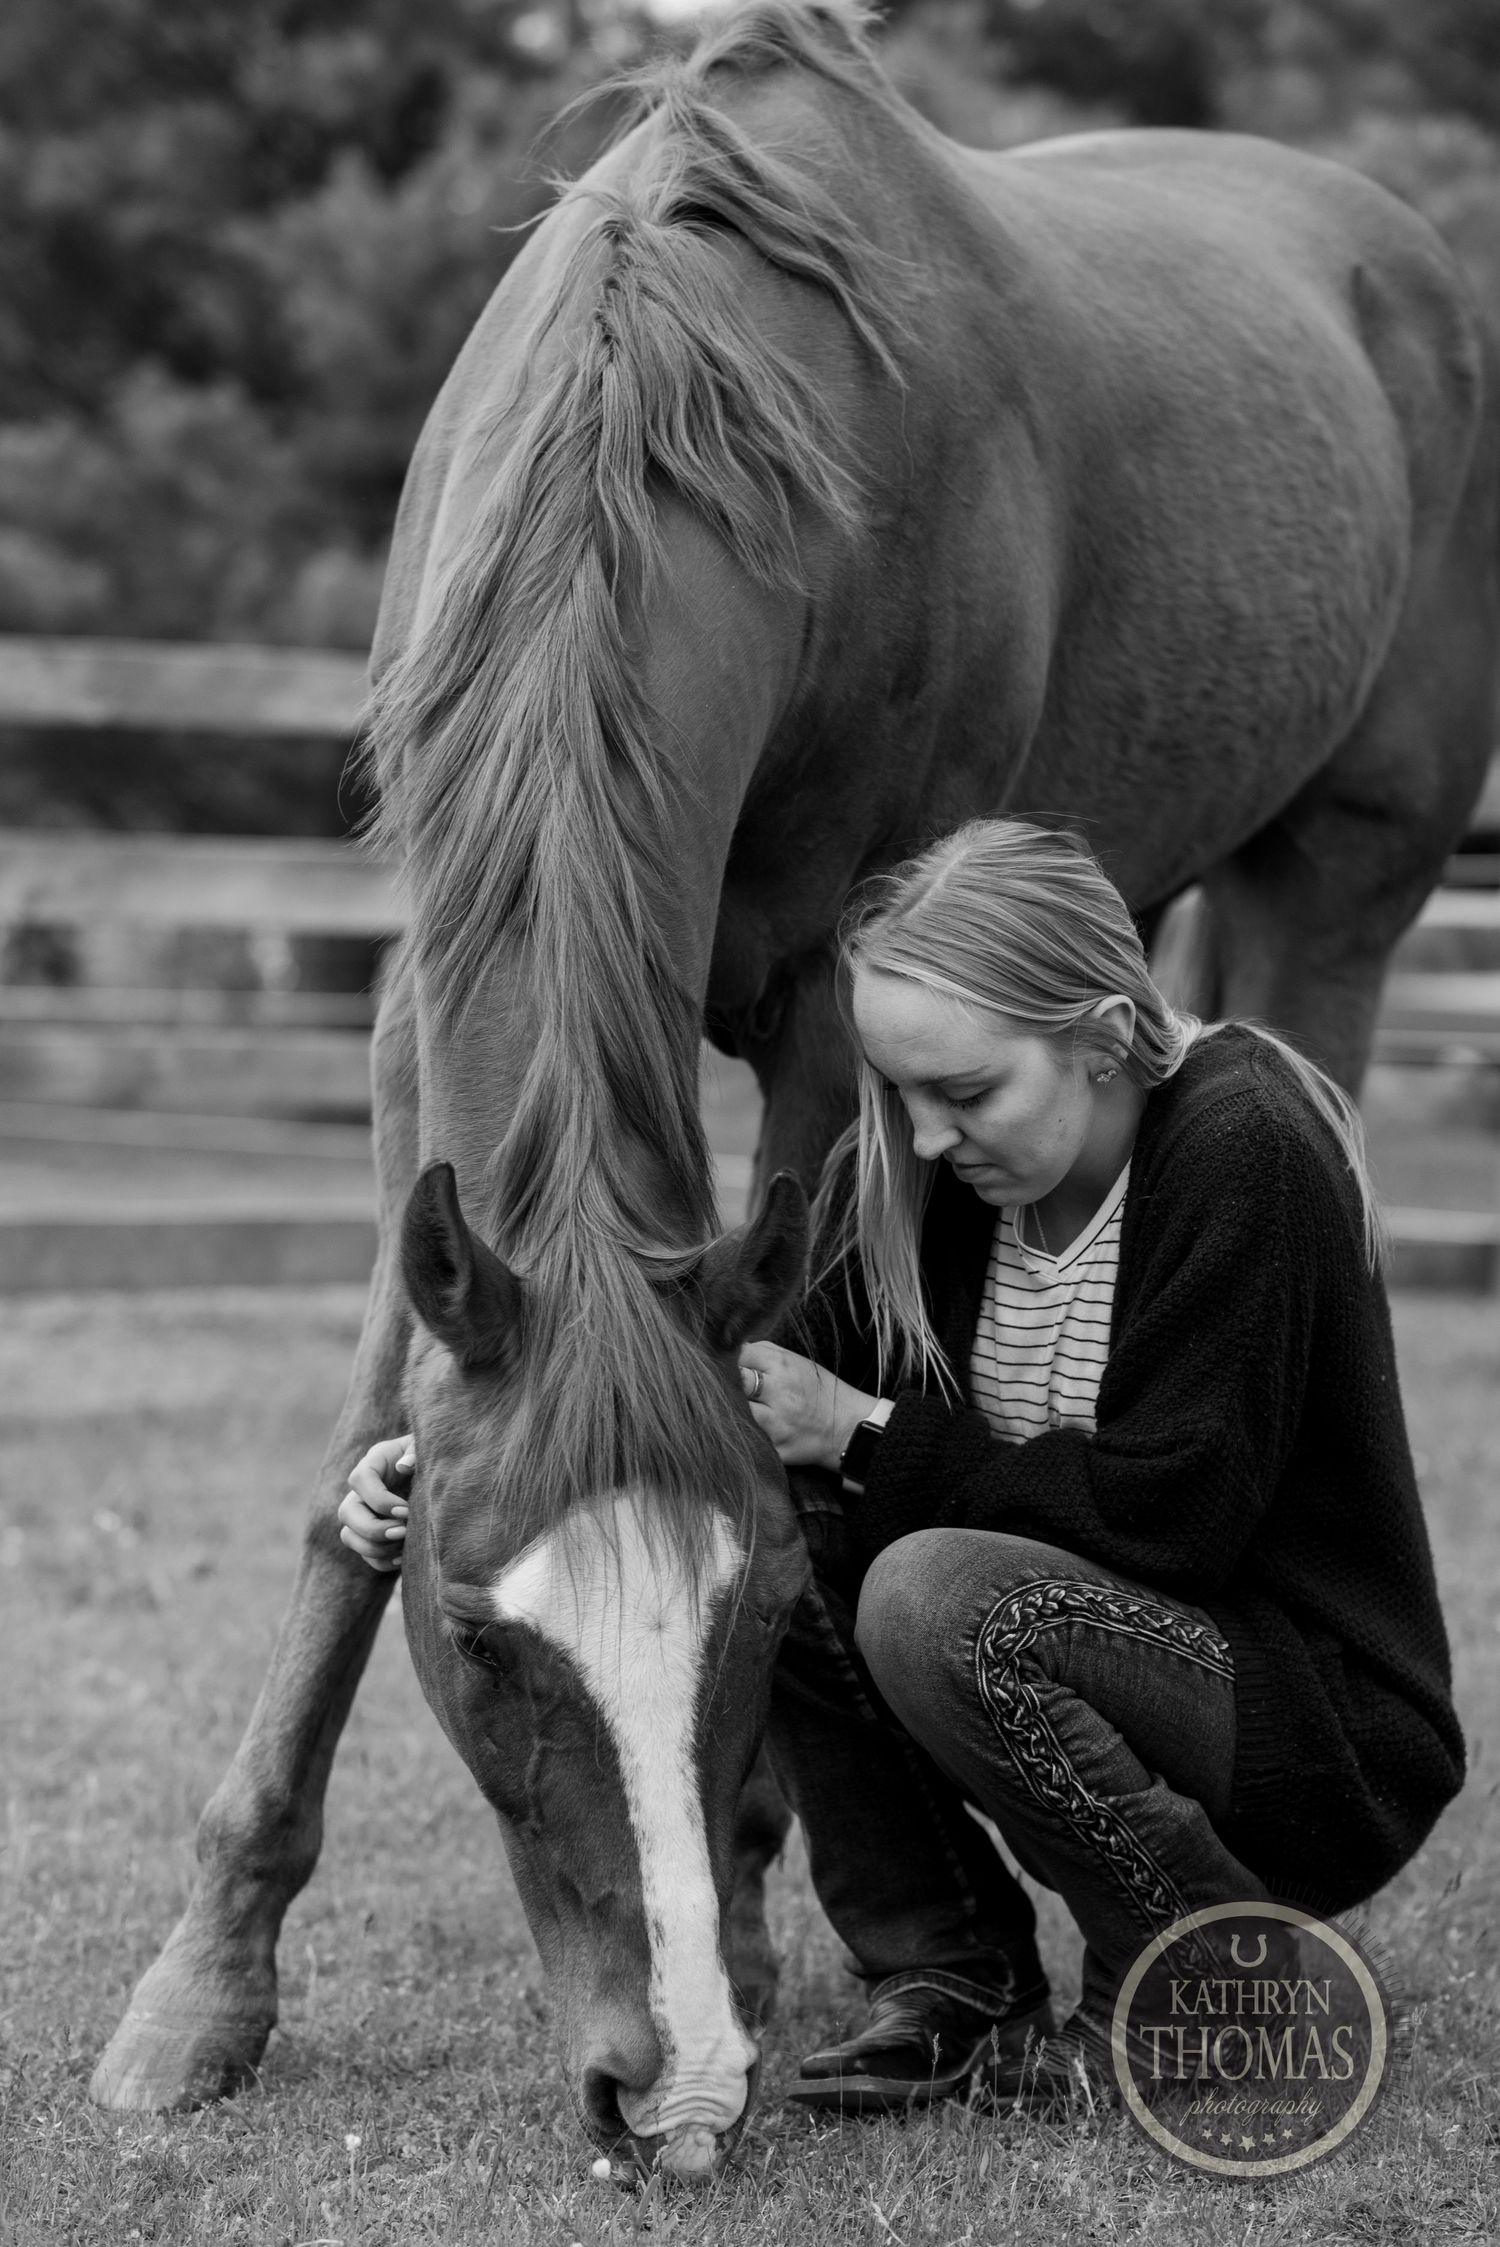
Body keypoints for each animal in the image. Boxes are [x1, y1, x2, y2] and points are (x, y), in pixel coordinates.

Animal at [91, 0, 1498, 2186]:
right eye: (479, 1643)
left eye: (762, 1618)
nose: (665, 2089)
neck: (704, 388)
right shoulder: (423, 1011)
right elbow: (354, 1468)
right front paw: (201, 1989)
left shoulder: (846, 1020)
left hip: (1338, 885)